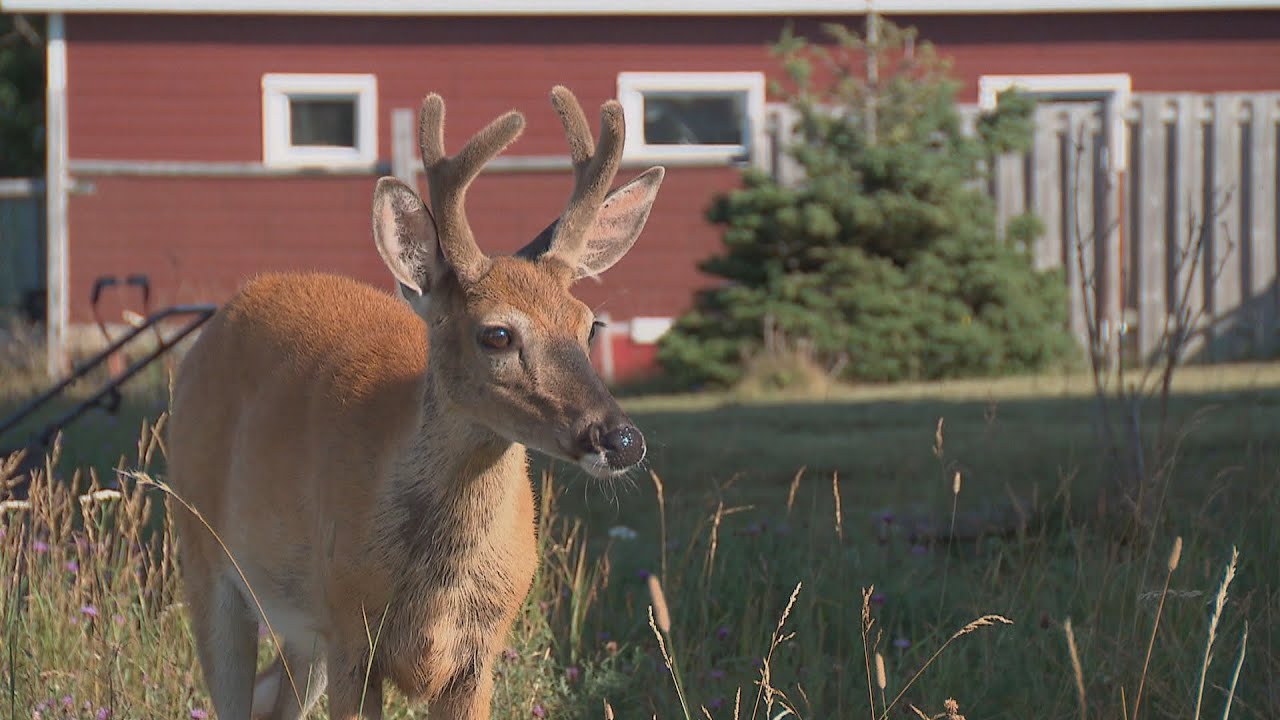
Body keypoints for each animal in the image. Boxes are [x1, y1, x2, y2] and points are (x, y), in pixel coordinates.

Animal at [166, 85, 664, 720]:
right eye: (496, 334)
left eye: (589, 325)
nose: (621, 438)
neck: (437, 586)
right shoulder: (350, 630)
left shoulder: (478, 653)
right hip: (204, 552)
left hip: (302, 627)